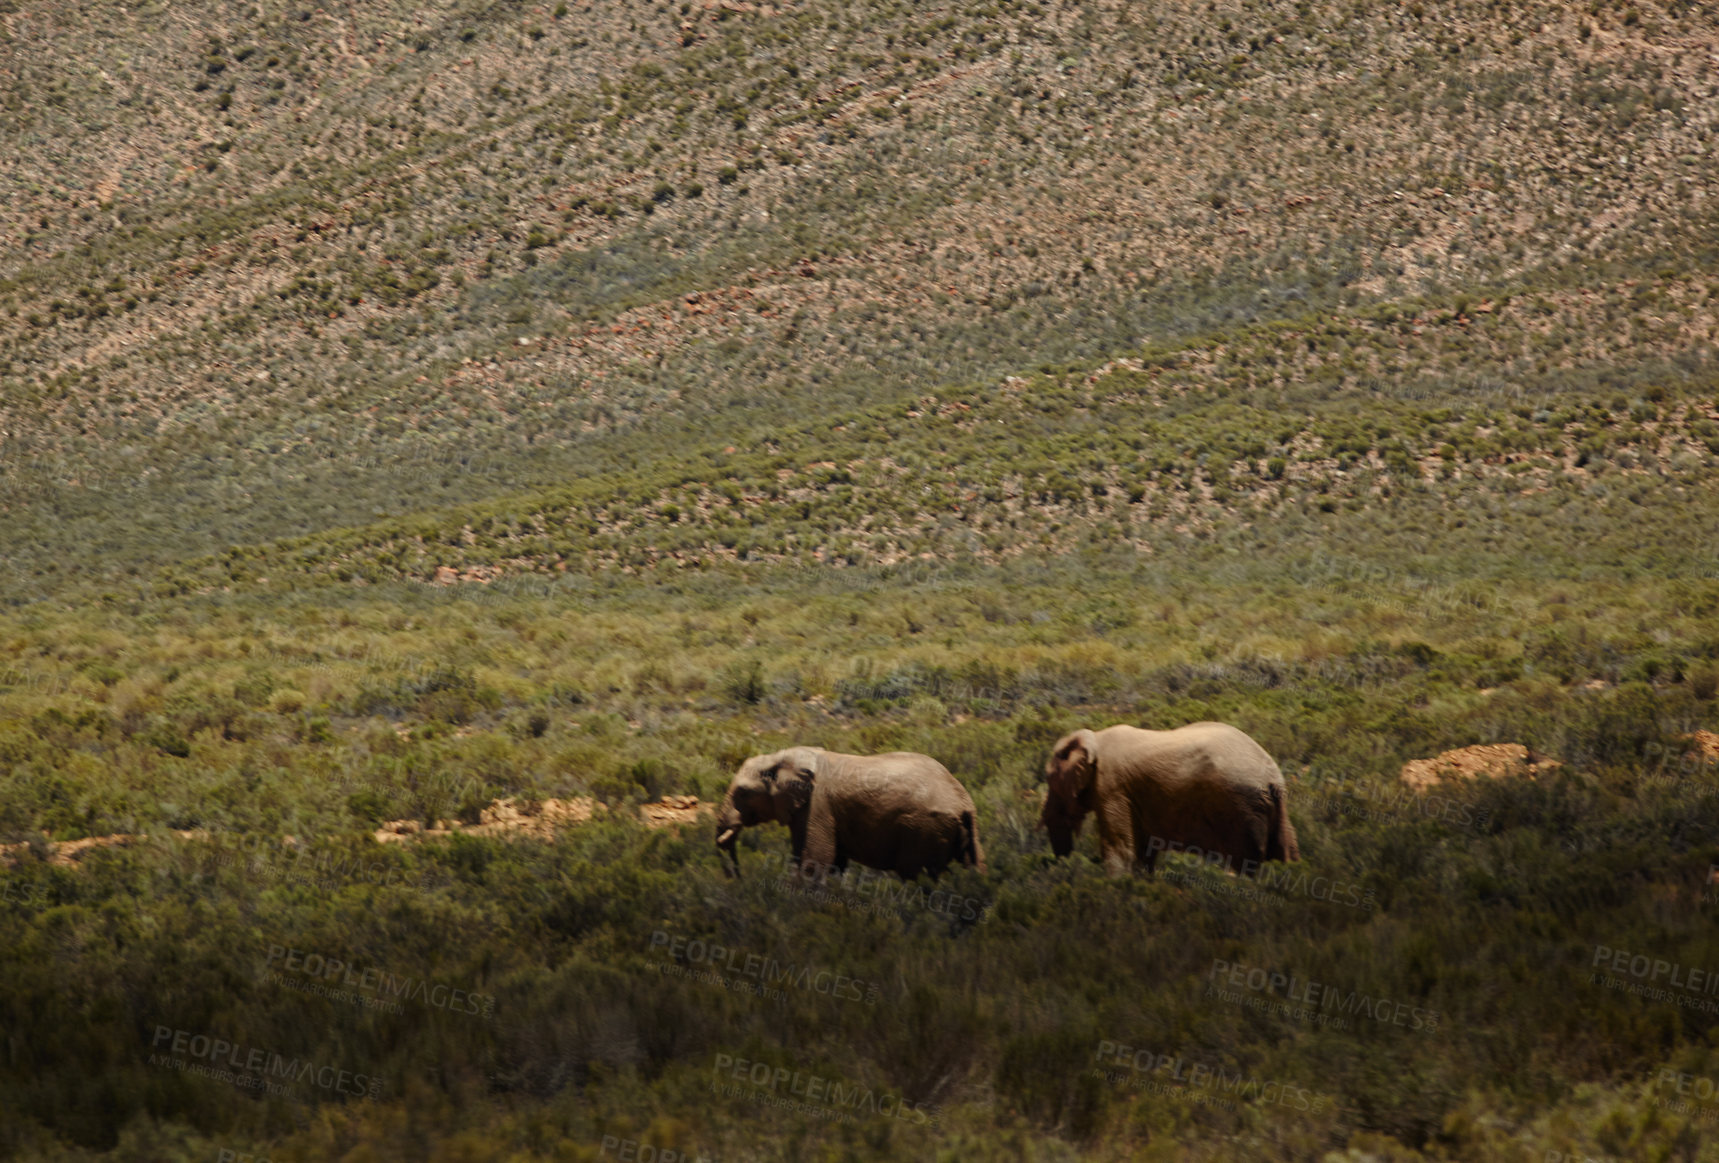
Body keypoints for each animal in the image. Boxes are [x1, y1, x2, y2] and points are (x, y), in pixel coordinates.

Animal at [708, 748, 983, 876]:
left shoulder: (817, 807)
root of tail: (964, 801)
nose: (737, 877)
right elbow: (834, 864)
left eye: (742, 793)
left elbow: (814, 860)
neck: (780, 757)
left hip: (924, 828)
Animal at [1031, 721, 1299, 876]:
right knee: (1286, 852)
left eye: (1050, 781)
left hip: (1241, 809)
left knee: (1241, 863)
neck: (1093, 738)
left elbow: (1120, 848)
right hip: (1272, 809)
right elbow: (1143, 850)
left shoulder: (1112, 787)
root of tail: (1272, 777)